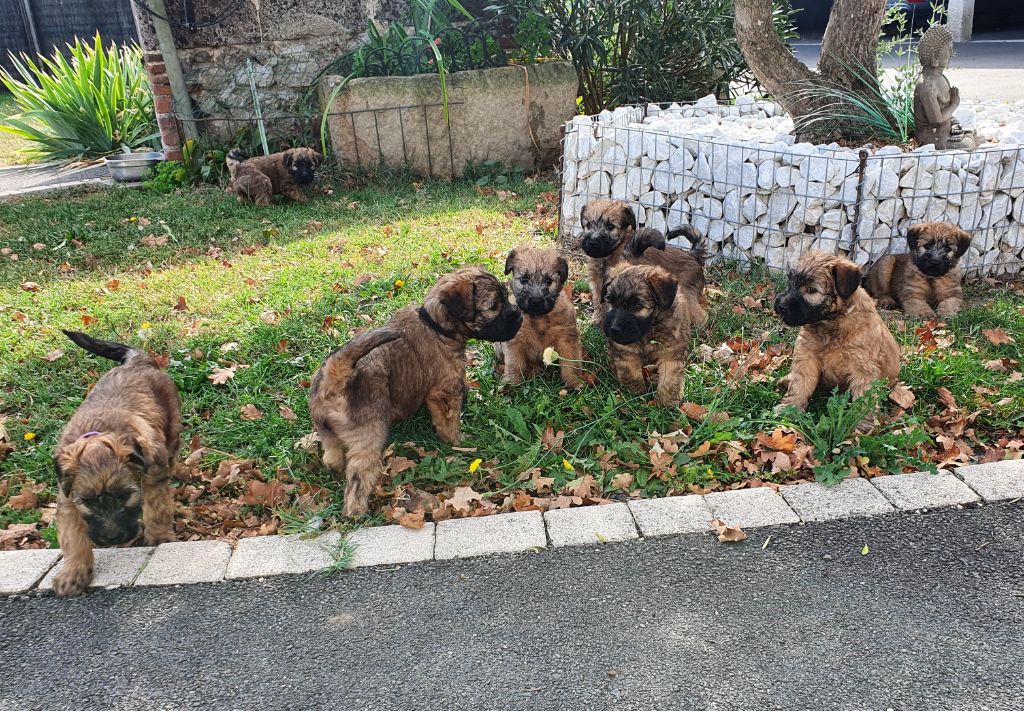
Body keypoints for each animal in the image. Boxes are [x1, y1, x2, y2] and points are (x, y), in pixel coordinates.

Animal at [52, 331, 182, 598]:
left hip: (172, 422)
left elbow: (157, 508)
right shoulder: (67, 498)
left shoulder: (153, 475)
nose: (112, 538)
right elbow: (72, 537)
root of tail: (136, 362)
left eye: (125, 496)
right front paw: (73, 572)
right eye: (88, 502)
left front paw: (159, 537)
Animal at [307, 266, 520, 518]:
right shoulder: (445, 391)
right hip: (369, 435)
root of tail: (337, 371)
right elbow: (449, 422)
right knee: (358, 477)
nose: (520, 316)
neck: (437, 326)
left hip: (326, 431)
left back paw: (335, 471)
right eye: (494, 306)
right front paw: (458, 442)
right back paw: (357, 512)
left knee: (331, 455)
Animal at [493, 244, 585, 389]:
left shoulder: (567, 338)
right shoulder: (514, 341)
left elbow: (571, 362)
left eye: (548, 281)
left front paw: (573, 382)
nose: (536, 301)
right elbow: (514, 363)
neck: (539, 317)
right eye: (524, 279)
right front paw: (511, 383)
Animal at [598, 262, 704, 409]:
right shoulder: (626, 353)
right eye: (611, 302)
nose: (613, 329)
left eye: (637, 306)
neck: (647, 332)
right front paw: (637, 395)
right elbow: (631, 375)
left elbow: (670, 379)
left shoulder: (671, 353)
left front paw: (667, 403)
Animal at [770, 252, 901, 424]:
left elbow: (864, 397)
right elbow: (800, 384)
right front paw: (790, 408)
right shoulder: (807, 355)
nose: (780, 306)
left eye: (811, 290)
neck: (832, 323)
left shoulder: (863, 368)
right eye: (790, 283)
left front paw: (862, 424)